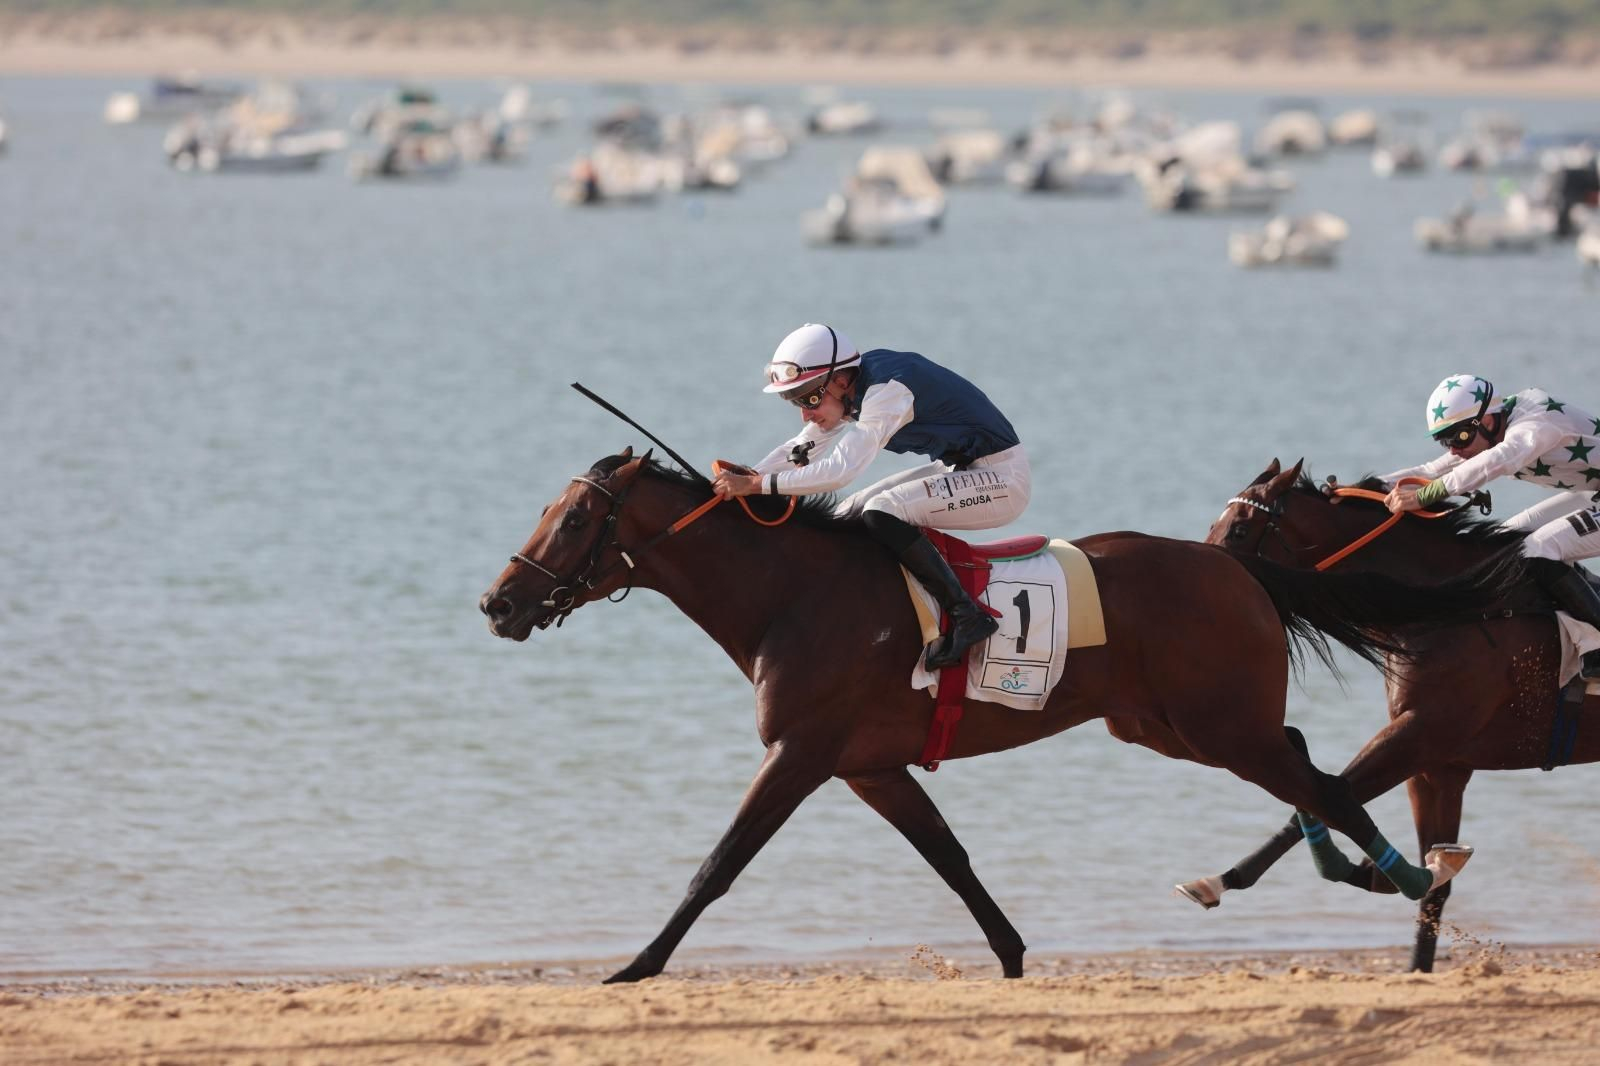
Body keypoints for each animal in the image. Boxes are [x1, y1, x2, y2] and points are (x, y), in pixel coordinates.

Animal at [478, 448, 1517, 983]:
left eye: (576, 521)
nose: (499, 603)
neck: (791, 593)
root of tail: (1234, 563)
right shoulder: (867, 765)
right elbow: (950, 858)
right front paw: (1014, 957)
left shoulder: (801, 753)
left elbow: (718, 864)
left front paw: (634, 967)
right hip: (1169, 725)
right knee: (1313, 765)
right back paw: (1370, 870)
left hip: (1219, 726)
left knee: (1324, 780)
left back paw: (1402, 875)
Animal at [1175, 458, 1599, 972]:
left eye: (1239, 529)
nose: (1202, 585)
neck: (1467, 605)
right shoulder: (1439, 765)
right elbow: (1434, 886)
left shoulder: (1416, 735)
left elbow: (1331, 793)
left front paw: (1219, 881)